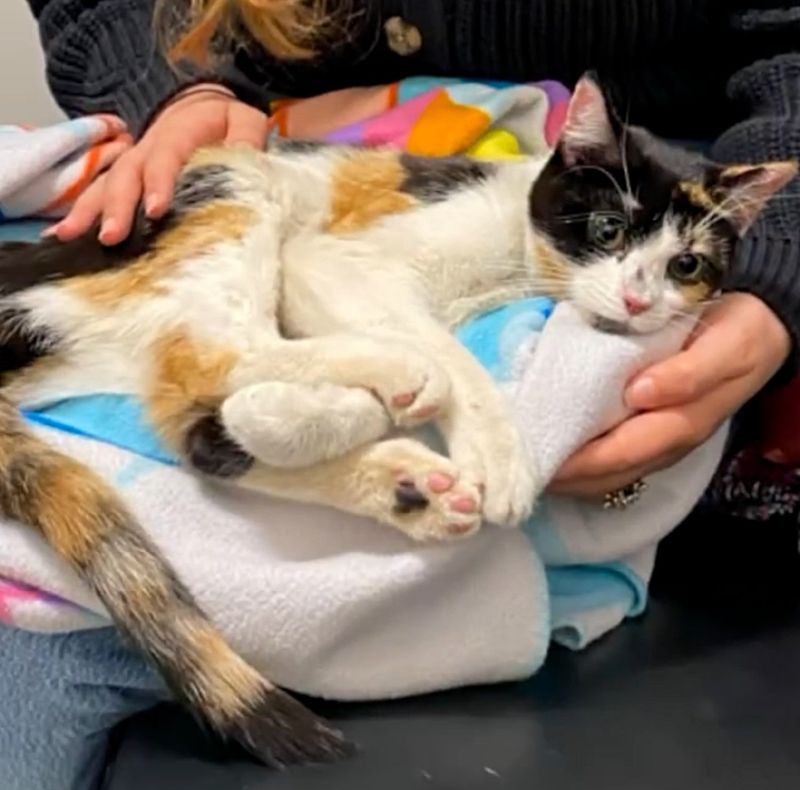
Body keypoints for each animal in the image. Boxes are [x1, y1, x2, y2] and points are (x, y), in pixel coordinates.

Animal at [0, 76, 792, 768]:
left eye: (686, 265)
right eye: (607, 227)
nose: (636, 302)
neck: (516, 261)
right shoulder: (334, 260)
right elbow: (446, 352)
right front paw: (498, 455)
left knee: (199, 423)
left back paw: (394, 477)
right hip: (227, 185)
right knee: (231, 355)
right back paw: (375, 392)